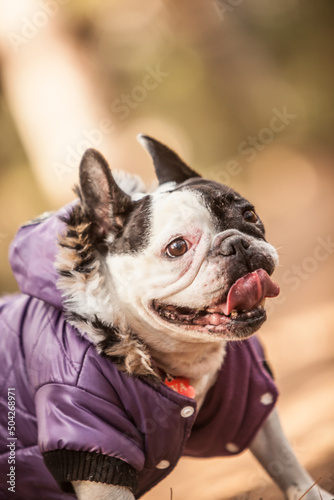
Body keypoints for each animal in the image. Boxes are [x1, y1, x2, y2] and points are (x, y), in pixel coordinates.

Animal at [0, 137, 332, 500]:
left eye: (250, 214)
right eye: (177, 248)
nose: (236, 244)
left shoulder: (247, 399)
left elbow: (282, 458)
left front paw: (310, 492)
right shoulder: (90, 445)